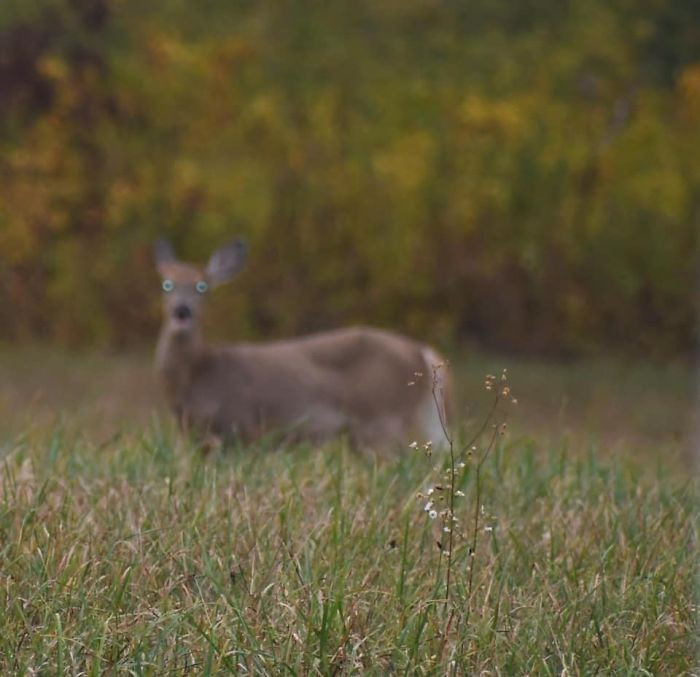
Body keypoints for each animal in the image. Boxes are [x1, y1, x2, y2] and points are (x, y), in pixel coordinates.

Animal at [153, 238, 452, 448]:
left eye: (201, 287)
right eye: (167, 285)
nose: (182, 311)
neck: (196, 374)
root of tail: (421, 351)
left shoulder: (242, 423)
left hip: (382, 417)